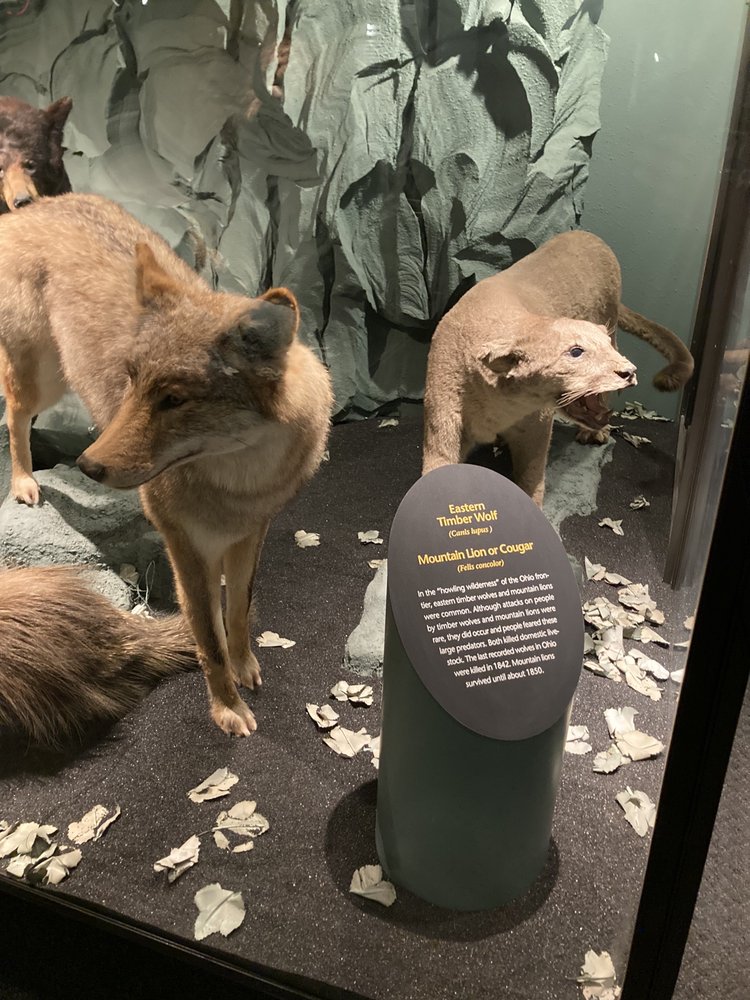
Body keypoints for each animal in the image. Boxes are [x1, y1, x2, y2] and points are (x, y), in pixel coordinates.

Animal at [422, 230, 694, 506]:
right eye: (576, 352)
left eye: (603, 346)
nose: (629, 372)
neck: (498, 405)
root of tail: (588, 234)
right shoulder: (442, 423)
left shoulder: (537, 428)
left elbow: (531, 478)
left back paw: (595, 432)